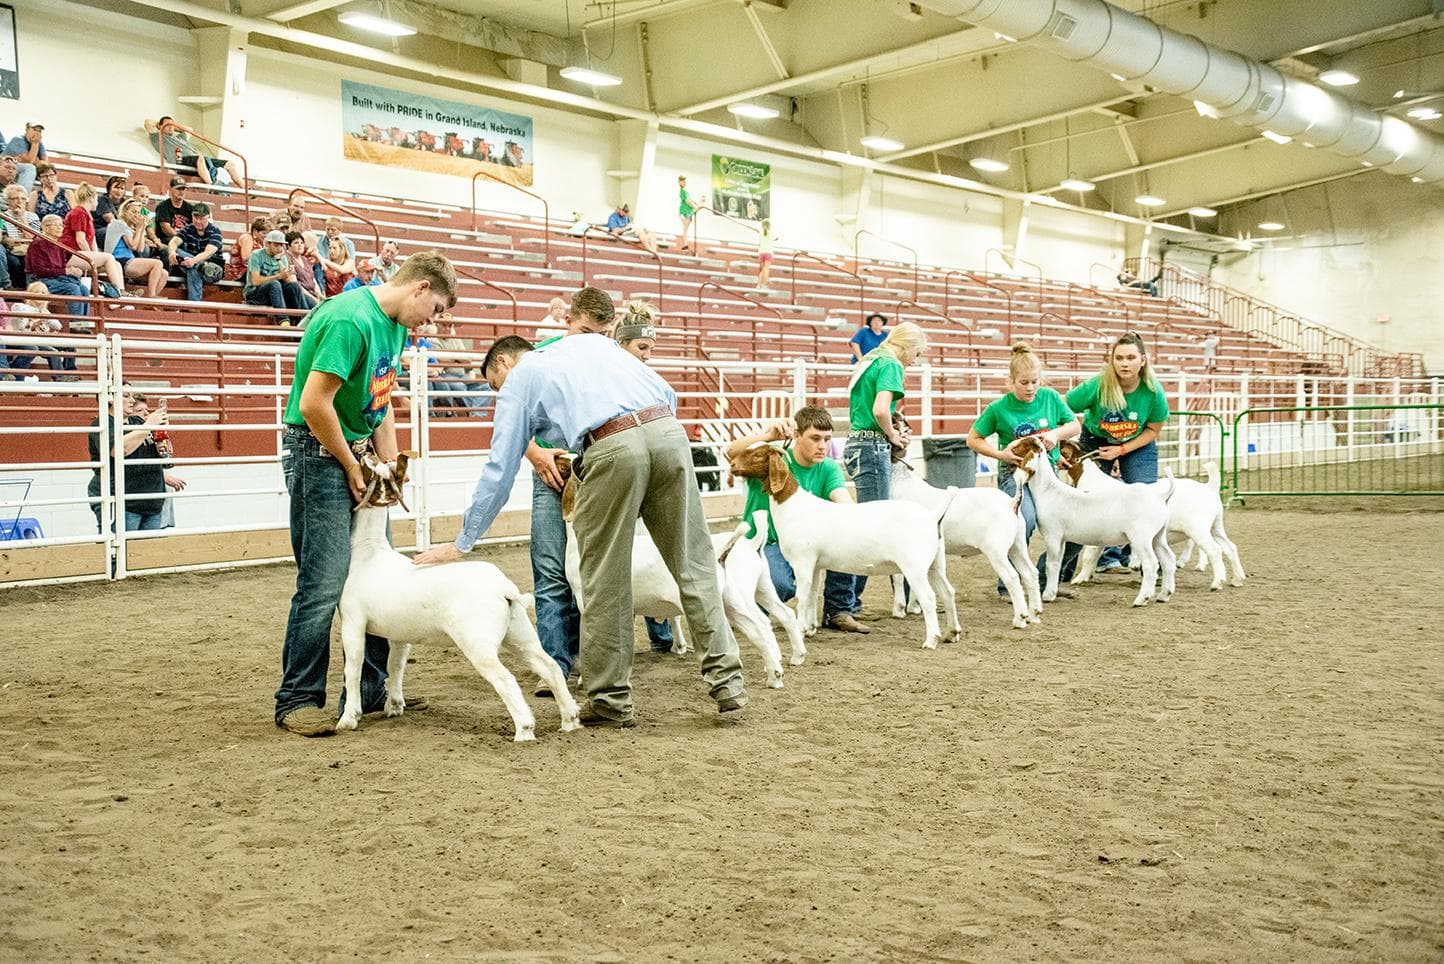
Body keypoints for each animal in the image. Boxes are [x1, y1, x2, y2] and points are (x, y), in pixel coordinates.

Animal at [337, 456, 580, 744]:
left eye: (368, 468)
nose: (364, 454)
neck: (369, 551)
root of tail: (505, 589)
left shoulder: (352, 622)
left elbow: (353, 667)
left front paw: (348, 718)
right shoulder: (400, 634)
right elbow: (396, 665)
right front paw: (394, 706)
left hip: (478, 642)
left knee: (506, 679)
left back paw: (524, 730)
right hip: (519, 633)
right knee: (550, 667)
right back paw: (570, 720)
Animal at [733, 441, 958, 646]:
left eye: (757, 455)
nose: (733, 464)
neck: (793, 506)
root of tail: (931, 516)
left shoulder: (802, 561)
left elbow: (802, 597)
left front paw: (800, 630)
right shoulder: (816, 565)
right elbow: (812, 595)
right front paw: (810, 629)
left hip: (914, 566)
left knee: (929, 597)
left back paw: (931, 640)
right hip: (935, 563)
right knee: (948, 592)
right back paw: (952, 633)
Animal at [883, 458, 1045, 629]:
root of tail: (1012, 502)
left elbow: (898, 577)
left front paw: (899, 609)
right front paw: (914, 607)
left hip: (996, 550)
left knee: (1012, 577)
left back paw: (1020, 618)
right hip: (1017, 545)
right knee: (1030, 573)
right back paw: (1034, 614)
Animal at [1010, 438, 1178, 608]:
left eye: (1021, 445)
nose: (1009, 449)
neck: (1049, 490)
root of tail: (1160, 496)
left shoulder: (1053, 535)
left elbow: (1051, 564)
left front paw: (1048, 595)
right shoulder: (1062, 538)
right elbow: (1058, 563)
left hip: (1141, 537)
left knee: (1151, 564)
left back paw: (1141, 599)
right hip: (1158, 536)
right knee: (1168, 559)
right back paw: (1164, 595)